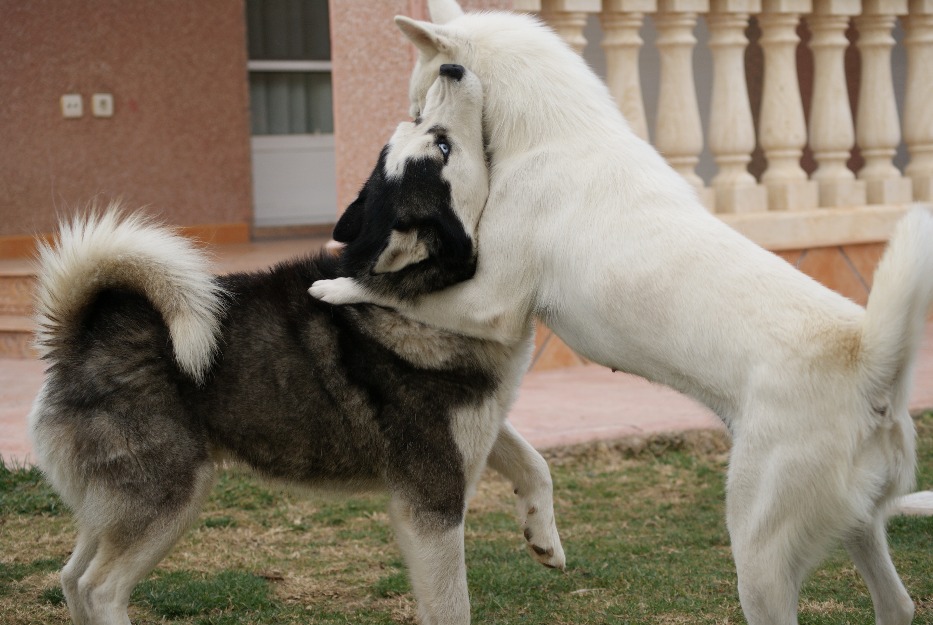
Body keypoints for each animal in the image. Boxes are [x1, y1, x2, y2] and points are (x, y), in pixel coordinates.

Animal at [312, 2, 932, 620]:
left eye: (427, 120)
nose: (439, 89)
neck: (557, 132)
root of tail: (870, 368)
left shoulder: (490, 304)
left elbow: (394, 288)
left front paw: (334, 286)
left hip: (760, 560)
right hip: (858, 530)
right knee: (898, 605)